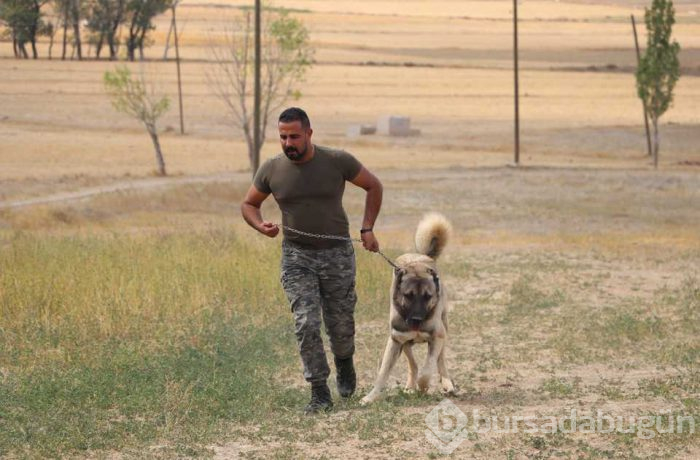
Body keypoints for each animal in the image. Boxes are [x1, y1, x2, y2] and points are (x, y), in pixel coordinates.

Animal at [360, 214, 454, 404]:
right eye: (408, 295)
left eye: (427, 296)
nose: (417, 320)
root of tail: (422, 256)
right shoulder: (395, 340)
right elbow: (383, 373)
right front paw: (370, 397)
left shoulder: (437, 337)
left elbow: (427, 370)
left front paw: (423, 387)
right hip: (405, 343)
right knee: (413, 363)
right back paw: (410, 386)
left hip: (444, 328)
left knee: (440, 360)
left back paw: (447, 383)